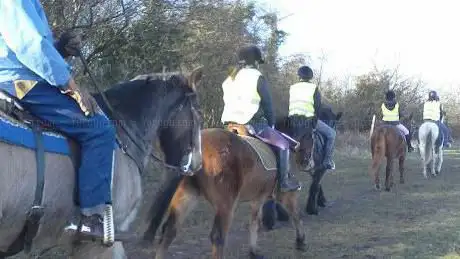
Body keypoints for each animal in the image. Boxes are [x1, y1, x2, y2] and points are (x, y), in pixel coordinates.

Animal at [146, 125, 308, 258]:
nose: (307, 163)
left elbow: (254, 222)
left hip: (187, 196)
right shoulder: (286, 195)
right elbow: (296, 215)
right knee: (218, 237)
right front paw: (300, 242)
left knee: (169, 230)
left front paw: (253, 251)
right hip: (225, 206)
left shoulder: (258, 198)